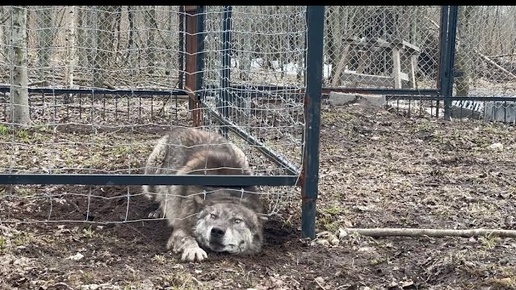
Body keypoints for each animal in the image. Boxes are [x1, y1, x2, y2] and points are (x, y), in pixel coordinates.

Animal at [142, 128, 266, 262]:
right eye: (213, 216)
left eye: (237, 221)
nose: (217, 231)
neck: (225, 189)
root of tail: (182, 128)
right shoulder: (180, 228)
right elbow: (188, 238)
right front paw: (194, 250)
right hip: (152, 180)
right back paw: (159, 211)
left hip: (242, 156)